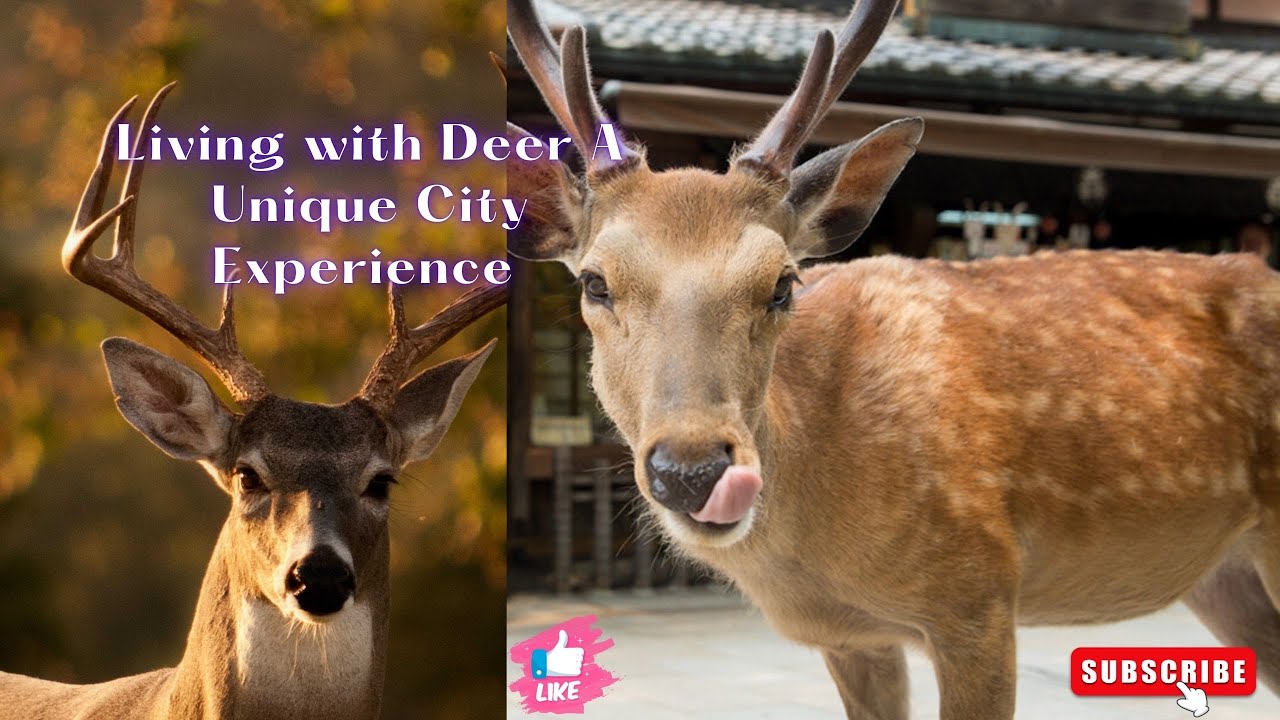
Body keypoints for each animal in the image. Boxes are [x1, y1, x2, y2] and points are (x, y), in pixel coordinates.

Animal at [507, 0, 1280, 717]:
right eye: (594, 282)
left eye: (784, 281)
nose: (692, 471)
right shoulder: (852, 636)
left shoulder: (980, 593)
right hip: (1226, 577)